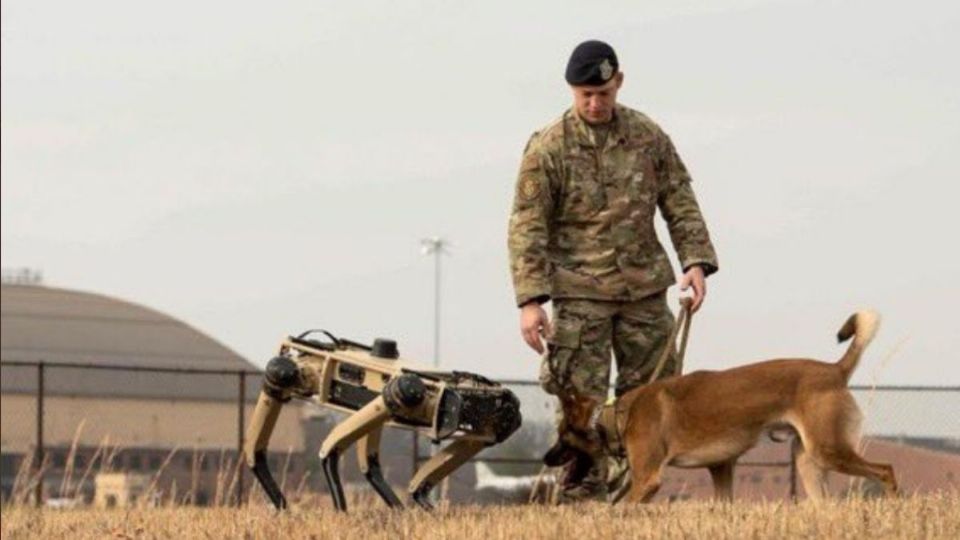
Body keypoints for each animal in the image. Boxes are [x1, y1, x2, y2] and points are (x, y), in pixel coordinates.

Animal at [548, 310, 900, 504]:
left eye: (562, 435)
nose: (547, 457)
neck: (616, 415)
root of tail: (834, 369)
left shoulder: (648, 479)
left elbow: (621, 509)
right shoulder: (721, 466)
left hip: (829, 450)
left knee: (886, 470)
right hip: (809, 462)